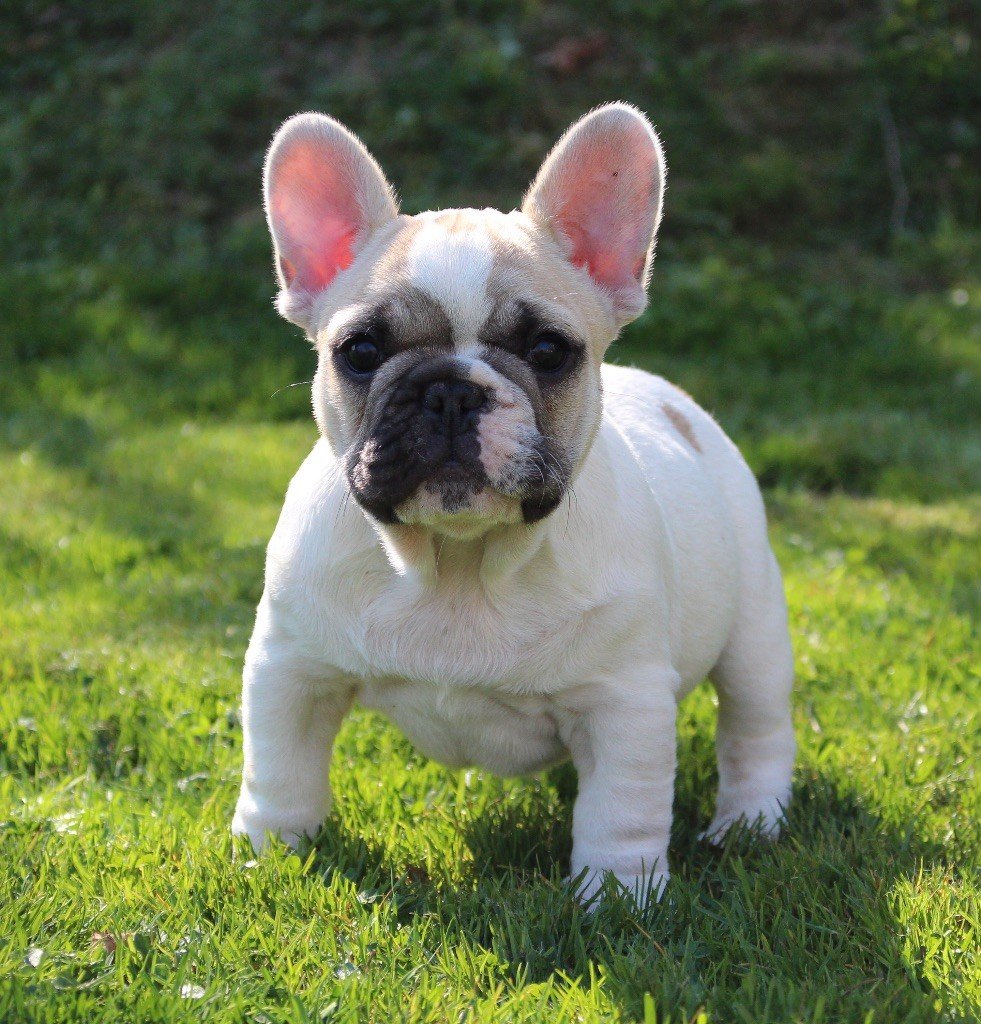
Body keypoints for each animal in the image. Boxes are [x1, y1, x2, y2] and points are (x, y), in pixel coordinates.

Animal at [232, 101, 798, 905]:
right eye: (360, 352)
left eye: (547, 351)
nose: (449, 389)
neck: (457, 564)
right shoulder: (294, 671)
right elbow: (281, 770)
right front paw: (271, 853)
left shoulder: (623, 701)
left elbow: (621, 808)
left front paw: (618, 898)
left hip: (753, 630)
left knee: (755, 727)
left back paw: (749, 824)